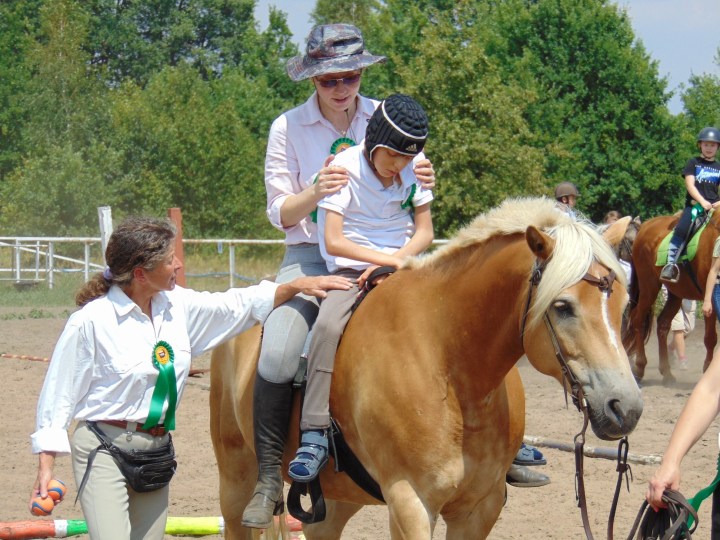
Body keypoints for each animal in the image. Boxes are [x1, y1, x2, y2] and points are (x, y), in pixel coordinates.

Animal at [211, 198, 644, 540]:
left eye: (624, 304)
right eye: (563, 306)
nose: (625, 408)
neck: (449, 368)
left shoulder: (479, 509)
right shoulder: (411, 503)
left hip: (337, 499)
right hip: (236, 478)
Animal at [620, 209, 716, 382]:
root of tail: (646, 226)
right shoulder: (710, 297)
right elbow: (711, 338)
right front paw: (707, 370)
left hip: (676, 293)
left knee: (663, 324)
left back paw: (666, 372)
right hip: (649, 286)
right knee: (638, 320)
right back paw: (639, 367)